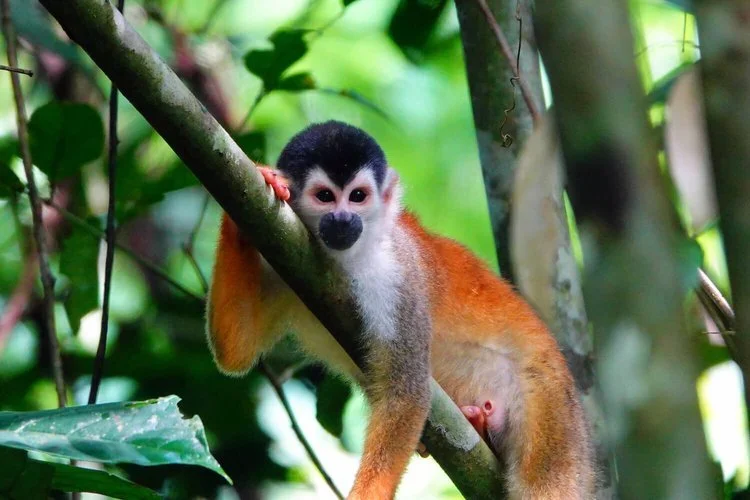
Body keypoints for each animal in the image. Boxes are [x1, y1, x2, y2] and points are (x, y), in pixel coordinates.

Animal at [206, 121, 595, 499]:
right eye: (325, 196)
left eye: (358, 196)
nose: (343, 220)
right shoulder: (278, 251)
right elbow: (235, 353)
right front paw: (255, 189)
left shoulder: (396, 274)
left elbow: (407, 393)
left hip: (549, 407)